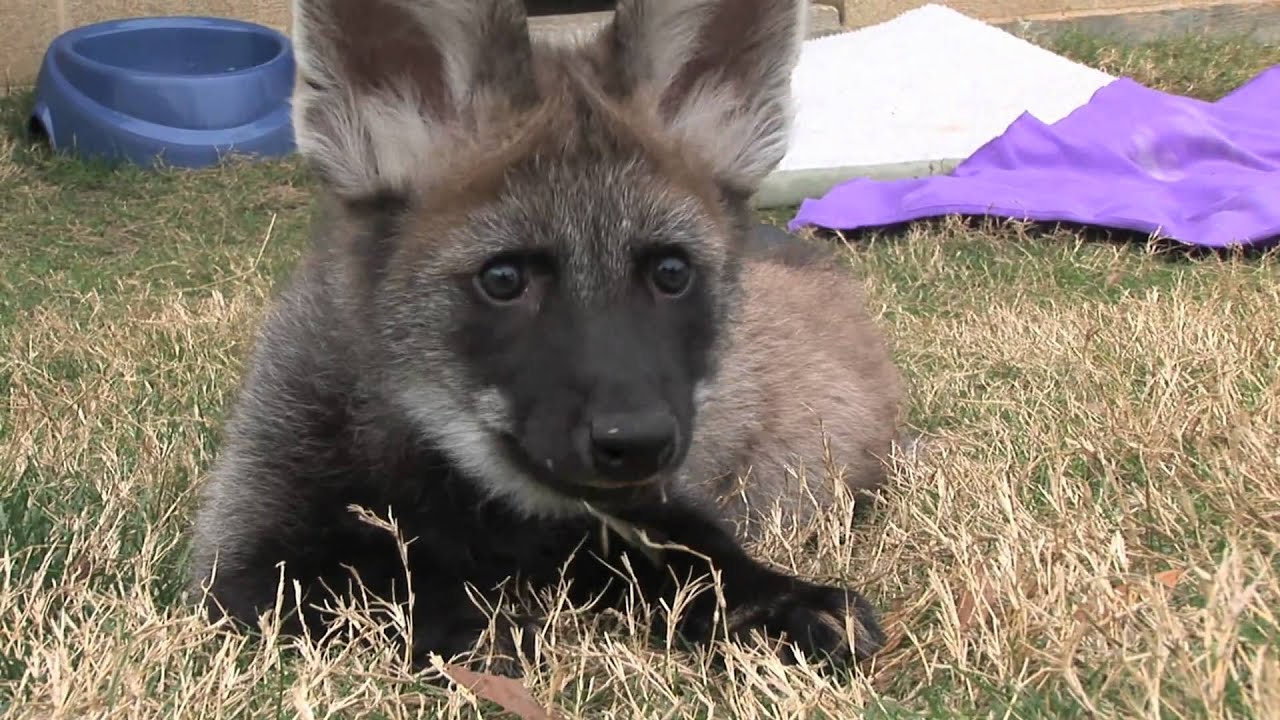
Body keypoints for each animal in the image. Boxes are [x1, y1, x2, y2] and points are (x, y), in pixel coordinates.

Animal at [186, 0, 905, 675]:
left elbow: (700, 554)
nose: (637, 442)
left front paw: (779, 601)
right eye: (503, 278)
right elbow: (380, 587)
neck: (471, 510)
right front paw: (474, 628)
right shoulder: (242, 559)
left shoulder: (639, 507)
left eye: (672, 272)